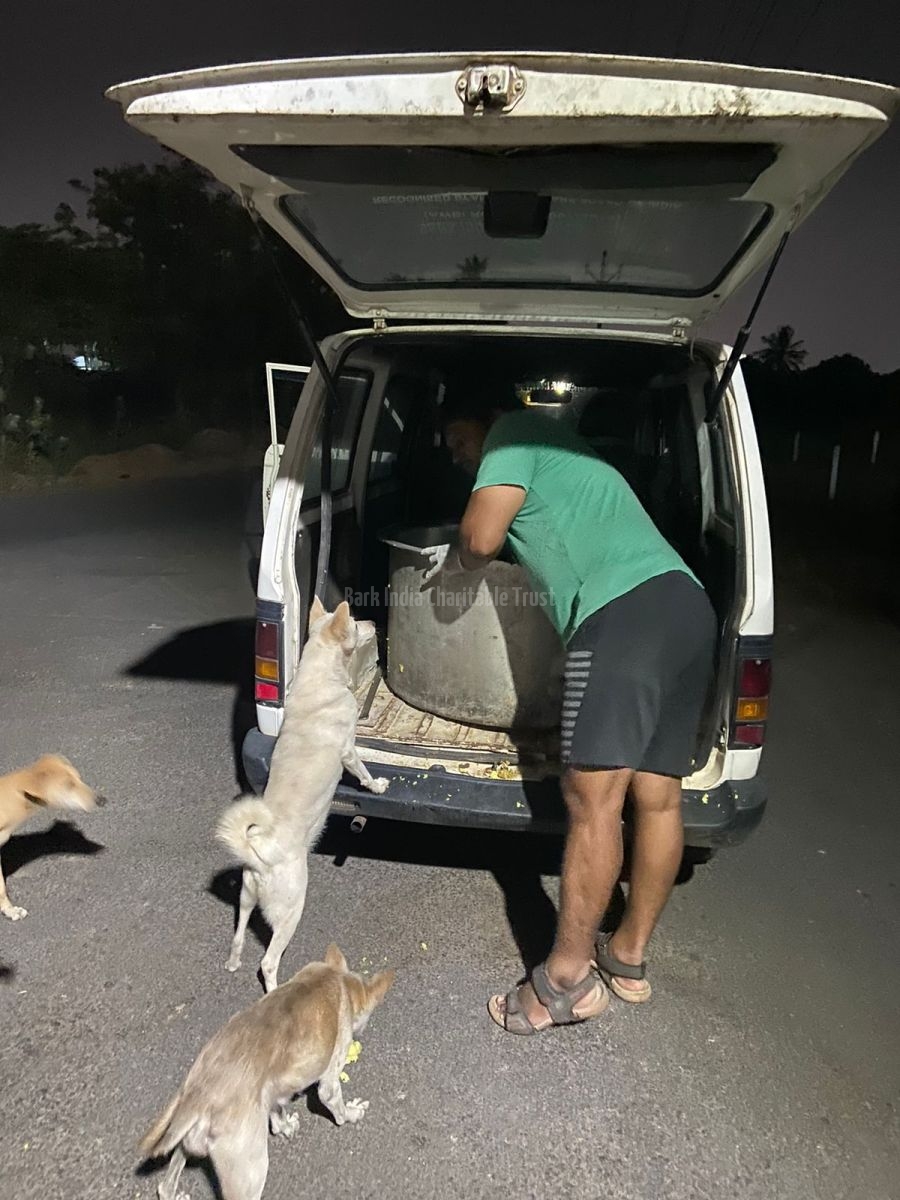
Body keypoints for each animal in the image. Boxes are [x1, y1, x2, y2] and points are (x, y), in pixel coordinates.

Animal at [140, 944, 394, 1200]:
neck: (337, 978)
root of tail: (199, 1096)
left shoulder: (272, 1090)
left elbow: (278, 1114)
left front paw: (285, 1127)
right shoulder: (330, 1079)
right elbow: (336, 1107)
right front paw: (352, 1113)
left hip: (189, 1138)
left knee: (166, 1182)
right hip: (250, 1170)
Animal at [218, 598, 389, 991]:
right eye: (356, 624)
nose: (374, 622)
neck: (319, 674)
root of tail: (259, 851)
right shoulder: (349, 750)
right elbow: (363, 772)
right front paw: (376, 785)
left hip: (246, 897)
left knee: (238, 935)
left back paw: (233, 963)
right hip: (291, 909)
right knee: (267, 962)